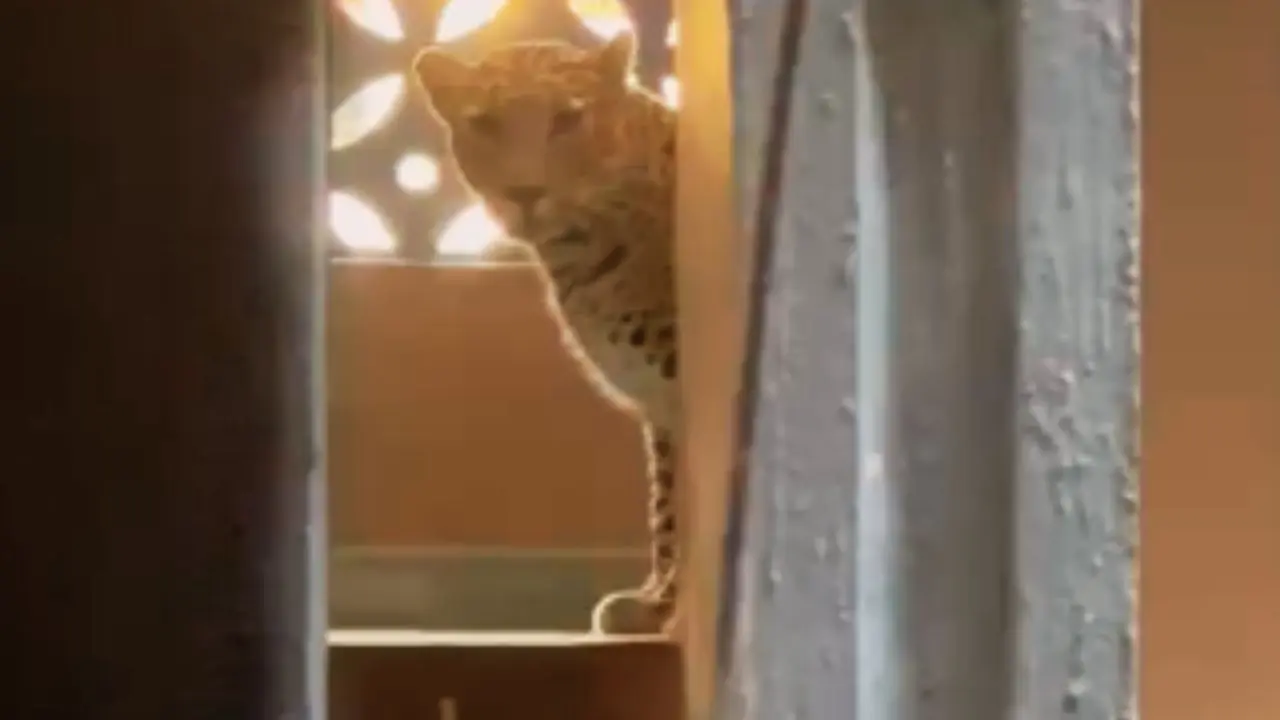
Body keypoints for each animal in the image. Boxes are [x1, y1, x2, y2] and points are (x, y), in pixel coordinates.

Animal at [411, 32, 680, 636]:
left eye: (568, 118)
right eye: (485, 123)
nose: (525, 191)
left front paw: (672, 608)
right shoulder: (660, 406)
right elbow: (668, 505)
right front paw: (654, 604)